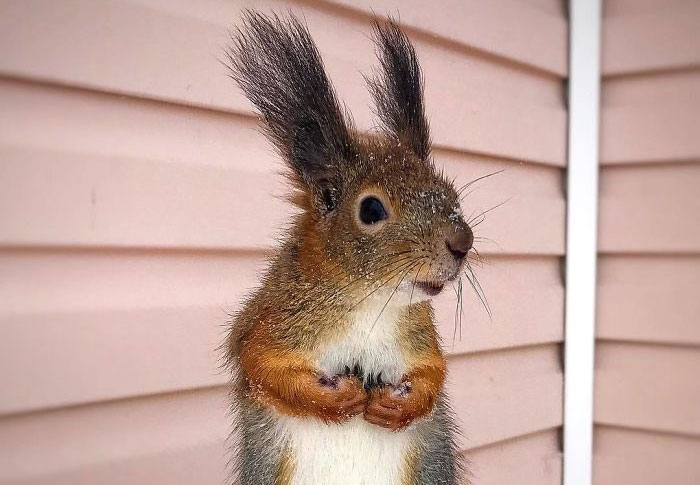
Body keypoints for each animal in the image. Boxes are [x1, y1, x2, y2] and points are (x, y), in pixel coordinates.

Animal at [224, 11, 473, 485]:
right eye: (372, 208)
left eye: (450, 193)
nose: (462, 243)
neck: (371, 303)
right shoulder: (273, 319)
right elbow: (261, 365)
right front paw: (335, 399)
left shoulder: (418, 337)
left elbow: (433, 373)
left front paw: (398, 405)